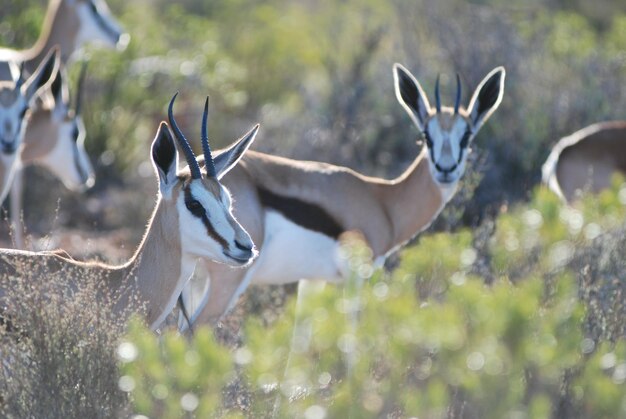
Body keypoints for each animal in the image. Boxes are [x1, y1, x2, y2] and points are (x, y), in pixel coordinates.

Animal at [179, 64, 502, 330]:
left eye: (467, 136)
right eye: (426, 135)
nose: (445, 170)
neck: (383, 200)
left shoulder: (312, 281)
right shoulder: (359, 277)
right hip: (226, 282)